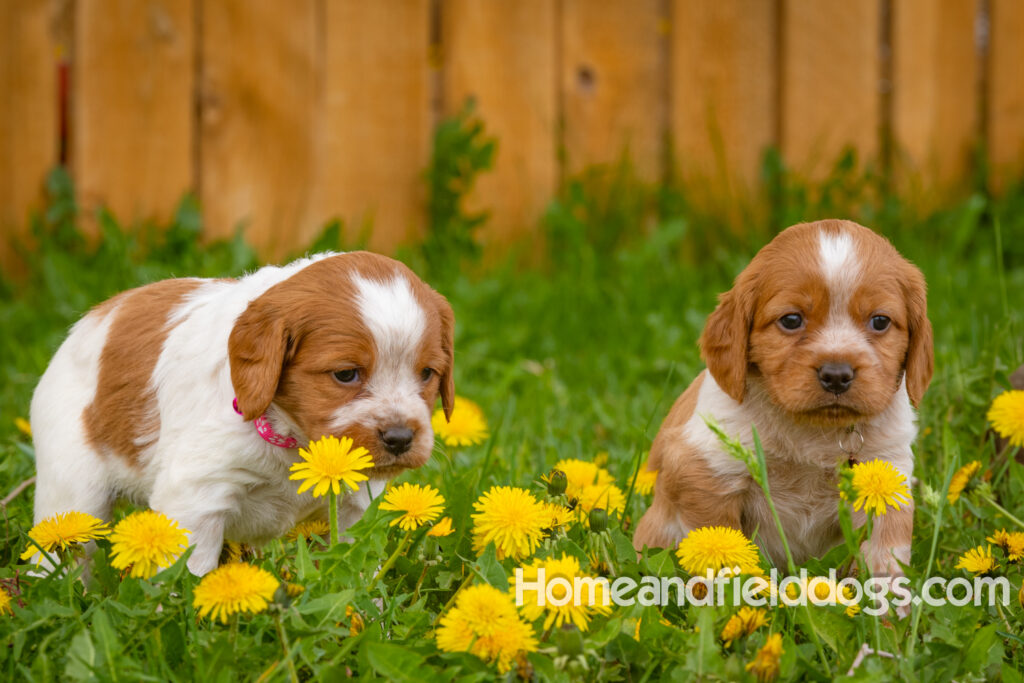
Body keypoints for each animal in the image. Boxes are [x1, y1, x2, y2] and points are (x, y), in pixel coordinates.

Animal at [29, 249, 454, 573]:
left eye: (427, 374)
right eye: (346, 374)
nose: (400, 439)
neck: (293, 438)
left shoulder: (355, 507)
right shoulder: (195, 498)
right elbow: (189, 580)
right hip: (73, 492)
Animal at [630, 222, 929, 581]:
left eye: (880, 321)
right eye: (791, 320)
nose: (837, 375)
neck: (813, 432)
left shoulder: (885, 473)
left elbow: (885, 554)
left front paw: (889, 597)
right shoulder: (708, 470)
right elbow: (721, 544)